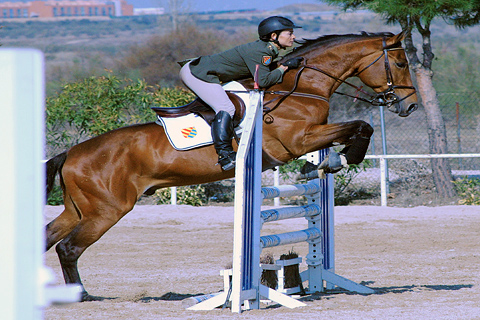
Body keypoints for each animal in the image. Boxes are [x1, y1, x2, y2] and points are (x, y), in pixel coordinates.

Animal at [47, 30, 418, 300]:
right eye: (400, 63)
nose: (411, 106)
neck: (300, 88)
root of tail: (71, 153)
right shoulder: (298, 141)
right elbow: (361, 125)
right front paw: (345, 157)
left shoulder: (310, 137)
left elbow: (351, 131)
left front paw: (330, 162)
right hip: (107, 210)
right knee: (69, 248)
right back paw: (82, 296)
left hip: (79, 209)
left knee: (51, 236)